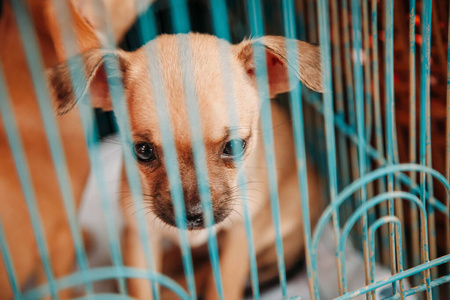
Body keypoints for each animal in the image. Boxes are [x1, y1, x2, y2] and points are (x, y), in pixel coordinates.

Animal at [47, 33, 324, 300]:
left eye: (234, 146)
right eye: (143, 151)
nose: (192, 214)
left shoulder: (239, 237)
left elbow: (221, 284)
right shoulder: (140, 237)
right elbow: (142, 288)